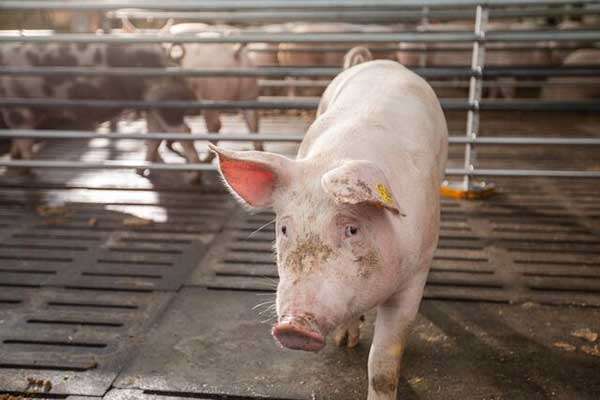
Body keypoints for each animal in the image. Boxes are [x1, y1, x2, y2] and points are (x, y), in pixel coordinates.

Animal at [210, 48, 448, 399]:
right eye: (284, 228)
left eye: (352, 229)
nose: (294, 325)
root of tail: (379, 62)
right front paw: (344, 343)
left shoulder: (415, 274)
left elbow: (382, 365)